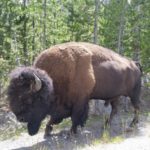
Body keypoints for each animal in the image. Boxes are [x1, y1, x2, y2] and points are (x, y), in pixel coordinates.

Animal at [7, 42, 142, 136]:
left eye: (28, 99)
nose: (20, 118)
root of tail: (134, 64)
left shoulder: (80, 100)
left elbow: (75, 116)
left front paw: (72, 132)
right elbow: (55, 118)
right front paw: (47, 131)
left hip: (134, 93)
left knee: (136, 107)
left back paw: (132, 124)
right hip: (115, 96)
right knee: (115, 110)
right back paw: (106, 125)